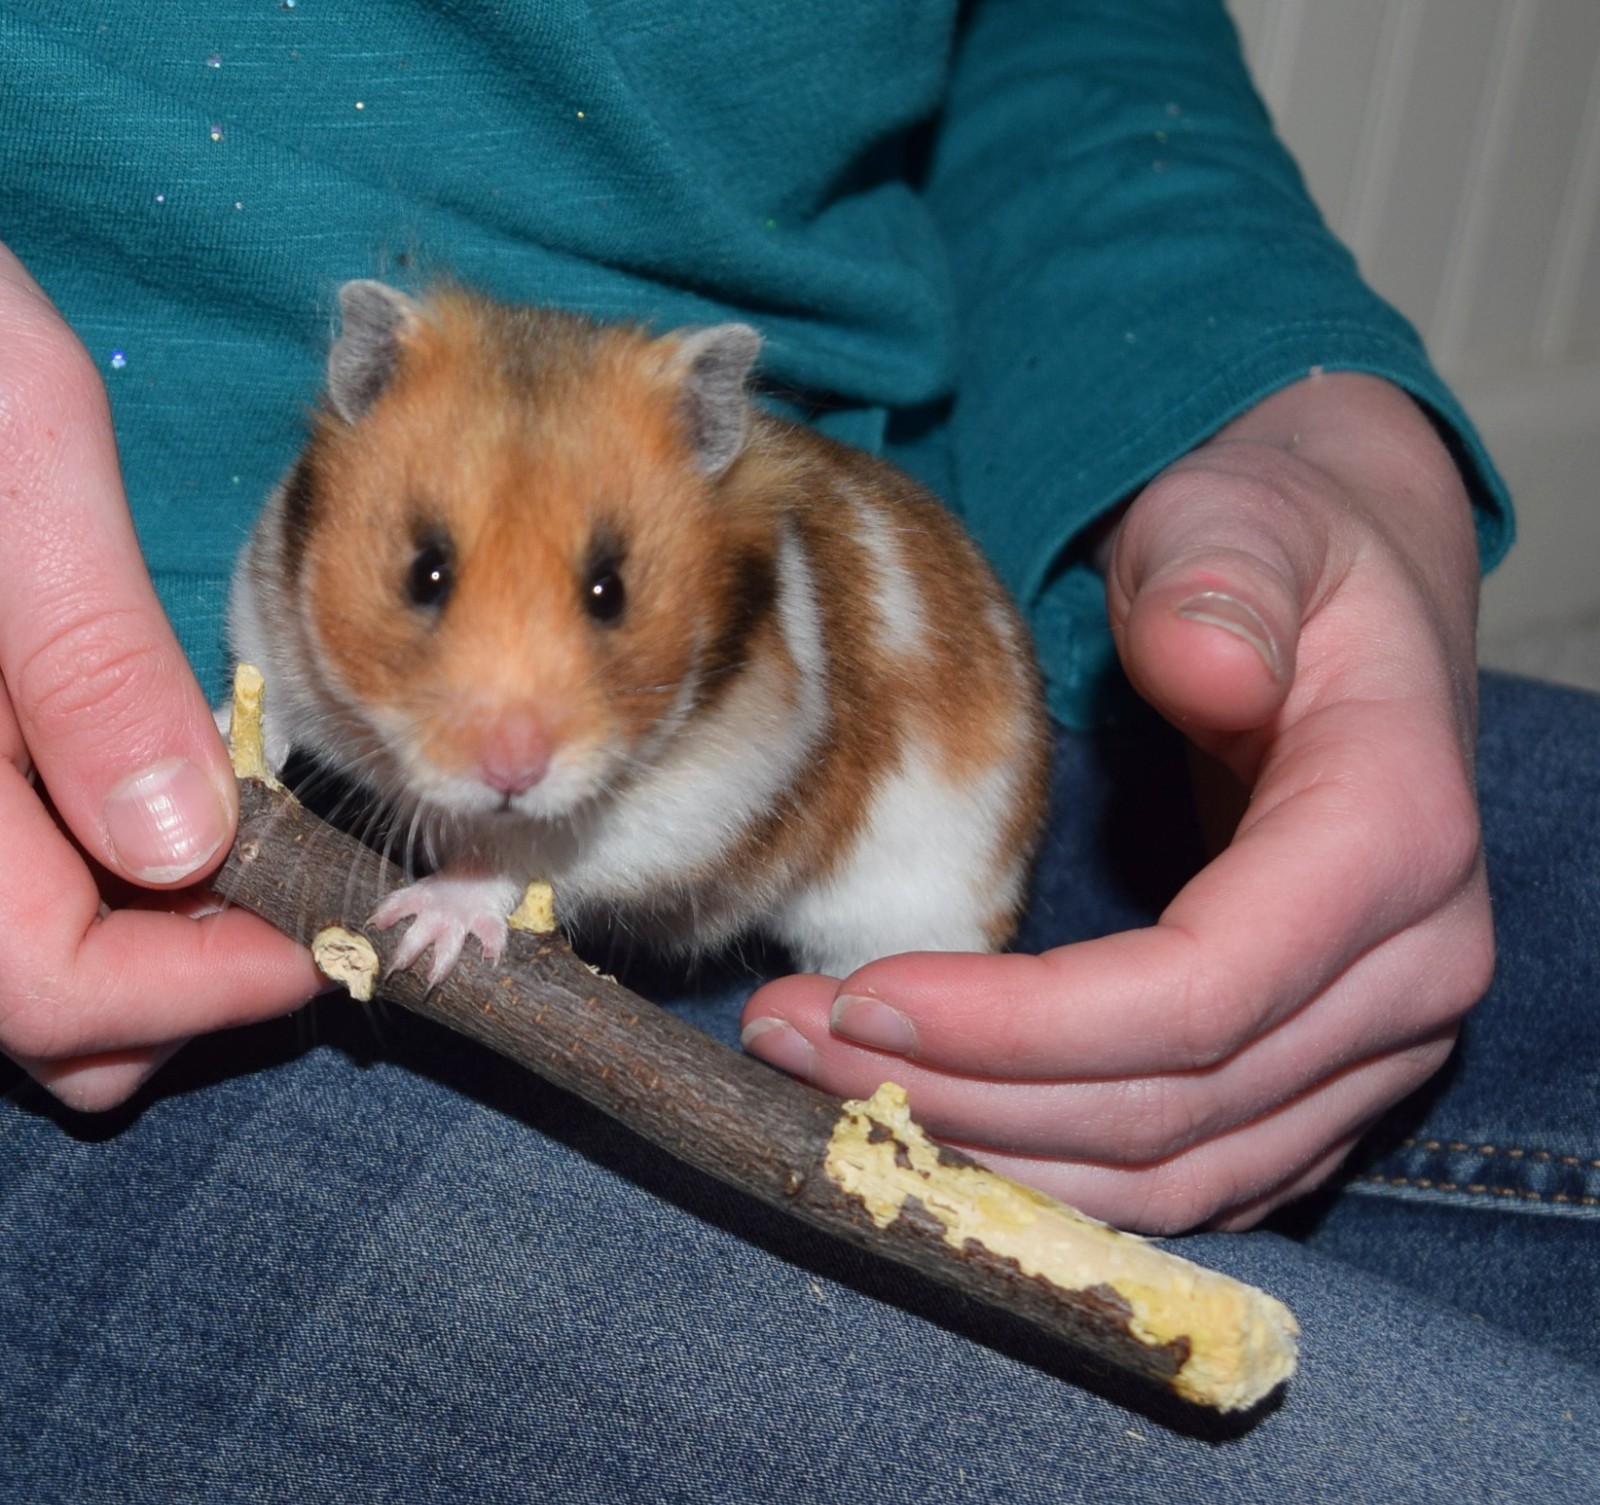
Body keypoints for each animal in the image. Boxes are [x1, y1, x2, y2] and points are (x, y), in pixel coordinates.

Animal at [229, 280, 1051, 985]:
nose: (512, 772)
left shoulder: (695, 805)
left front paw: (427, 933)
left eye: (610, 592)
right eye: (423, 573)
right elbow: (269, 712)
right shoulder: (273, 618)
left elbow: (526, 854)